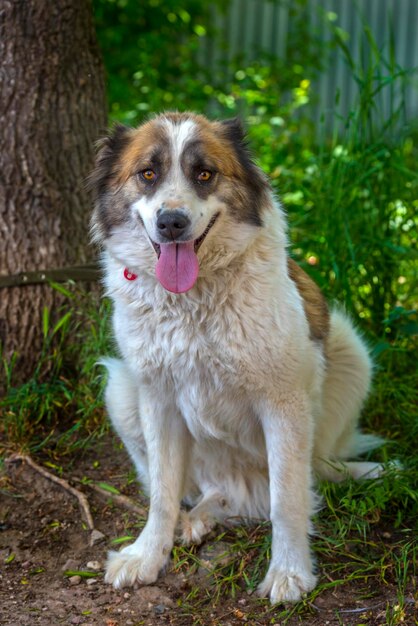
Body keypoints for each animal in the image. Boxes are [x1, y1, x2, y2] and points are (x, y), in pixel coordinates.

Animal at [90, 113, 384, 604]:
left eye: (204, 174)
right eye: (147, 173)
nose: (172, 223)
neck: (193, 301)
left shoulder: (283, 402)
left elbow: (287, 499)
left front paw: (290, 572)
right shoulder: (156, 397)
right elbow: (162, 494)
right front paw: (148, 555)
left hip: (348, 347)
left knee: (312, 473)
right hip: (120, 389)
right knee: (205, 492)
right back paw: (200, 516)